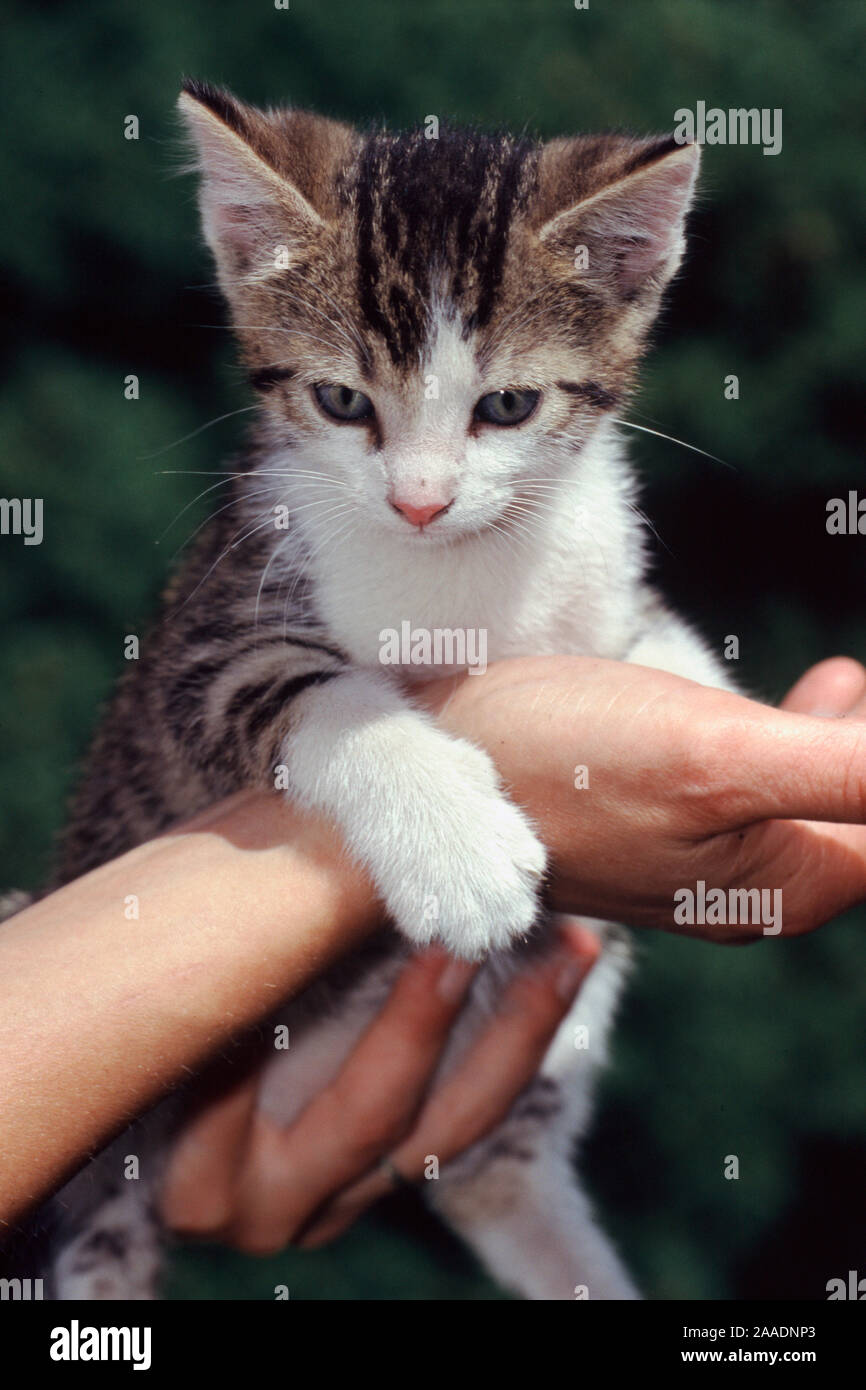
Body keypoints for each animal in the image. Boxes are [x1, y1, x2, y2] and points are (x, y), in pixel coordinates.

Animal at [1, 86, 733, 1301]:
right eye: (342, 400)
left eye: (508, 405)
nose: (420, 501)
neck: (458, 571)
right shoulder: (212, 639)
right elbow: (321, 692)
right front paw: (455, 846)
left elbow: (639, 631)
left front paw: (709, 690)